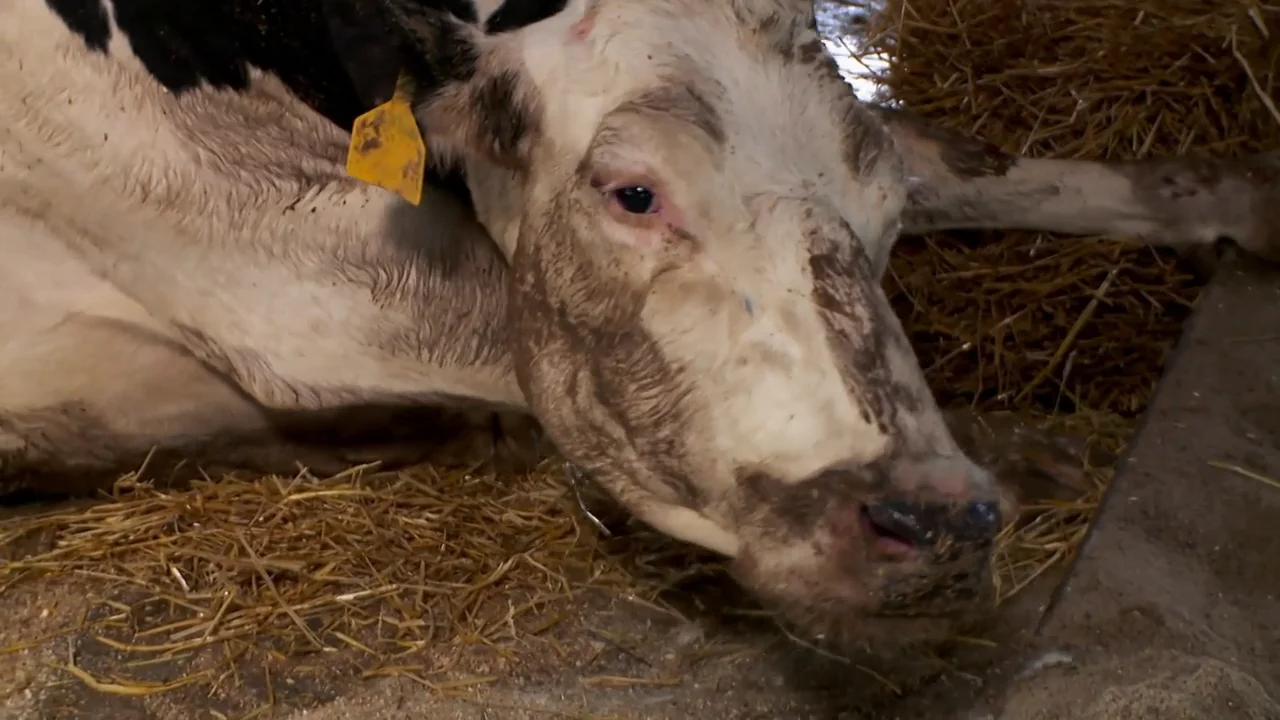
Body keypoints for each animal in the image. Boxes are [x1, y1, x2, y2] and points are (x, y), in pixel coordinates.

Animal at [2, 0, 1276, 652]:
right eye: (632, 193)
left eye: (877, 210)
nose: (936, 519)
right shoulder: (312, 277)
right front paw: (1027, 453)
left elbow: (957, 151)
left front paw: (1230, 197)